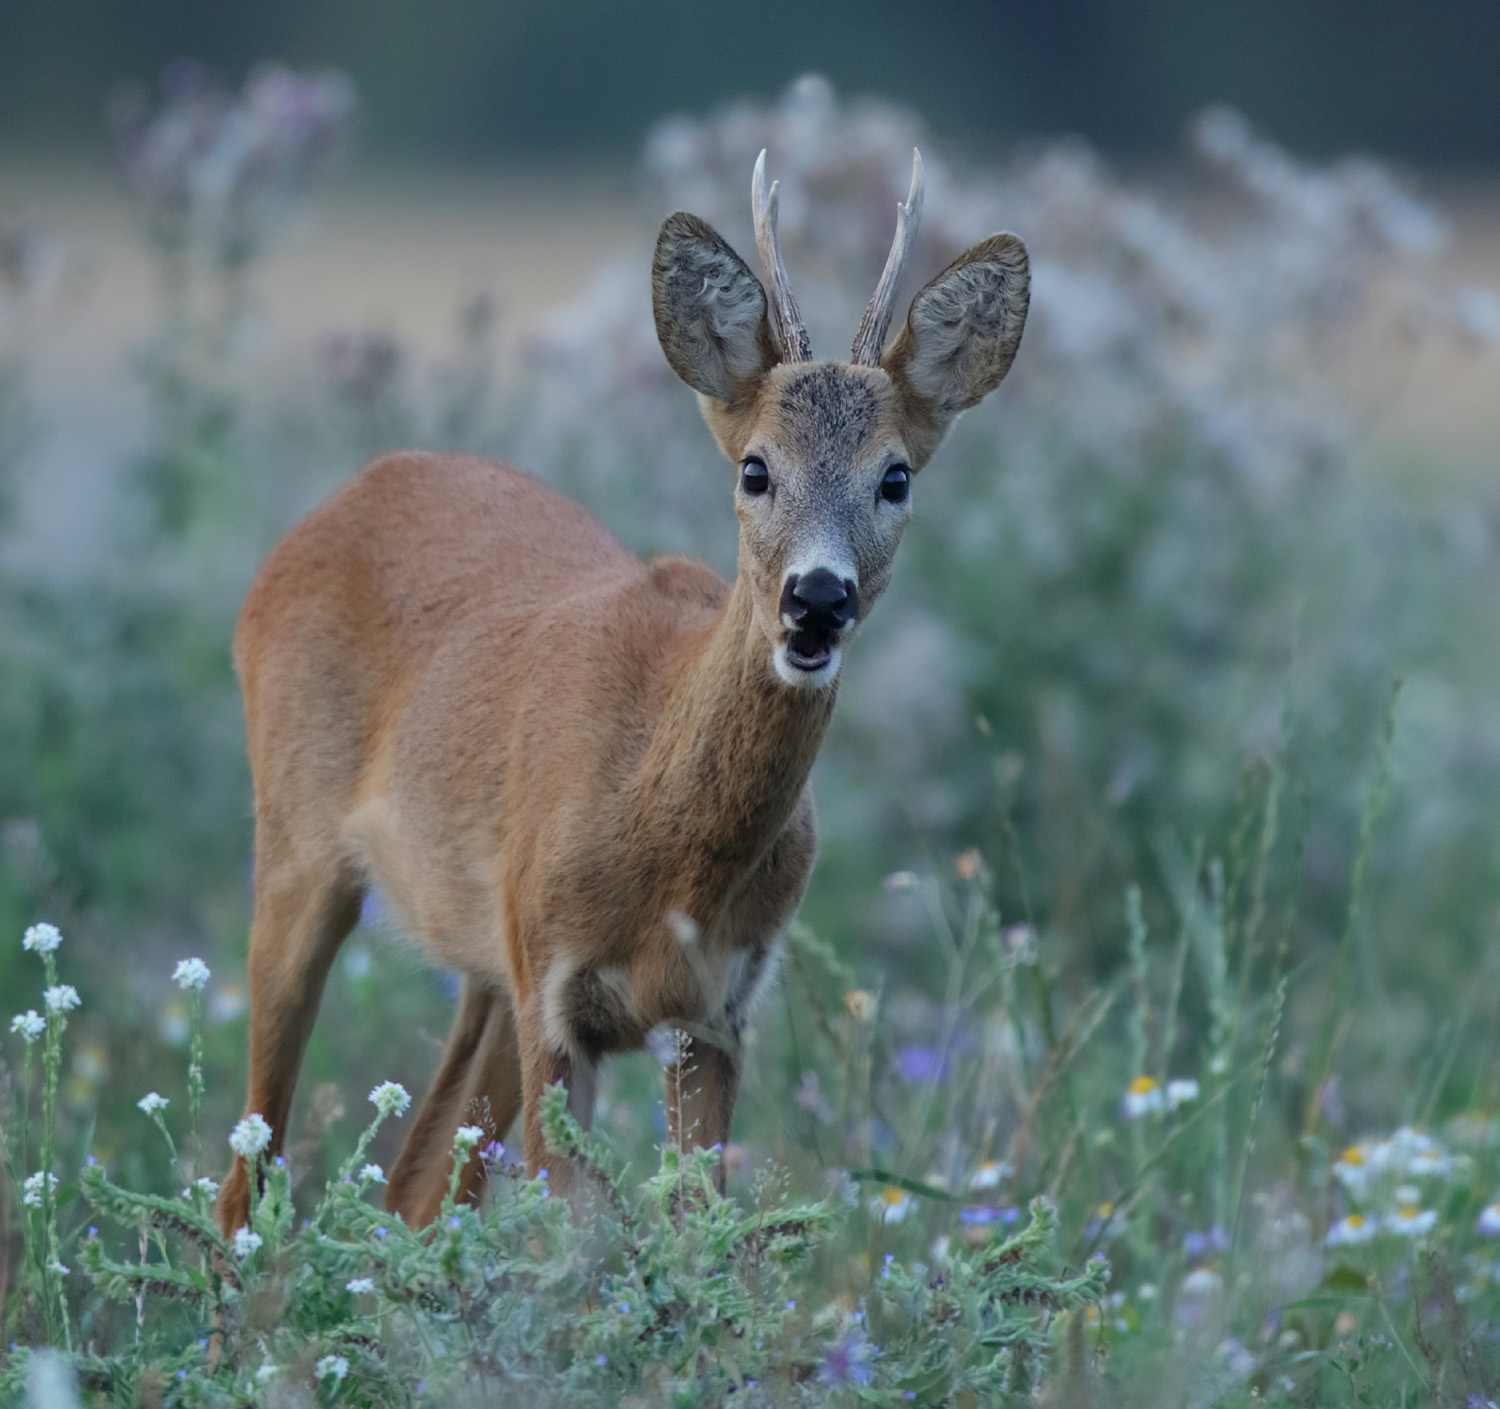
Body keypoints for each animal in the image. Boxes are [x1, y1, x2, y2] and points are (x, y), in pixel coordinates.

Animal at [217, 148, 1026, 1242]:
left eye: (896, 476)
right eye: (756, 468)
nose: (817, 598)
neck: (661, 833)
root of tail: (324, 513)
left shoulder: (717, 1010)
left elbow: (695, 1241)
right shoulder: (556, 993)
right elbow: (573, 1241)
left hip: (485, 965)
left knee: (412, 1185)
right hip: (301, 845)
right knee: (245, 1176)